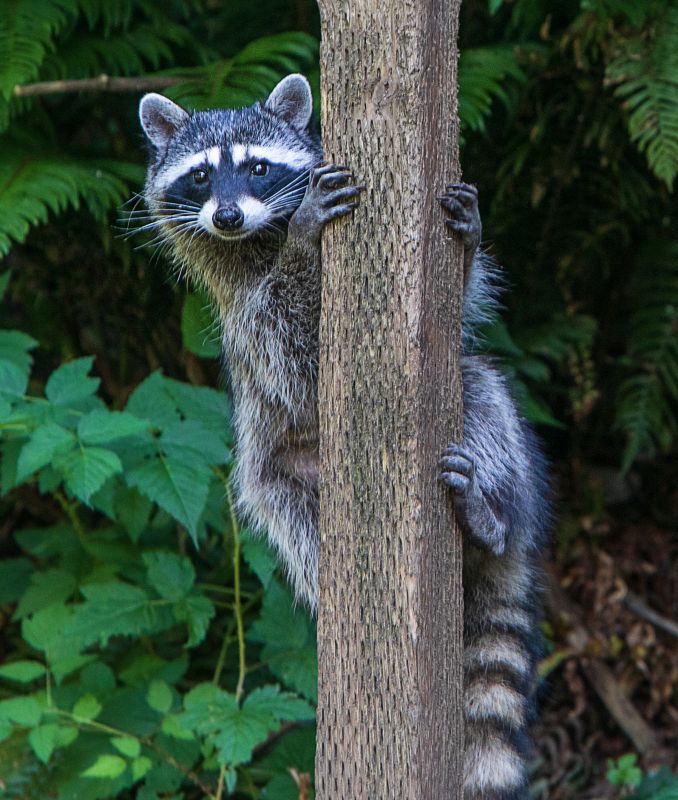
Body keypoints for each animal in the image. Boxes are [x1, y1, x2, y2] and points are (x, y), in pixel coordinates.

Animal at [138, 74, 550, 800]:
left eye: (257, 167)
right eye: (199, 177)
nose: (226, 217)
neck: (257, 236)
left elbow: (457, 312)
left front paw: (469, 246)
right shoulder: (244, 309)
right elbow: (294, 356)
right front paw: (306, 241)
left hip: (481, 436)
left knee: (480, 388)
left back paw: (491, 518)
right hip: (280, 477)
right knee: (296, 520)